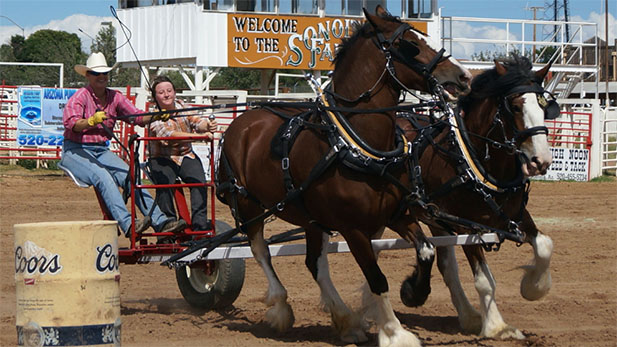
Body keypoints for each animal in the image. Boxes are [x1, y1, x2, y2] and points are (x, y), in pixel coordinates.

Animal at [217, 5, 472, 347]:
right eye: (410, 44)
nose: (464, 76)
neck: (356, 145)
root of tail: (242, 121)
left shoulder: (396, 215)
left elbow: (427, 250)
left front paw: (413, 292)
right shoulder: (354, 230)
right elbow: (377, 279)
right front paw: (395, 332)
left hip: (310, 218)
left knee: (315, 263)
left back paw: (345, 319)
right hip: (248, 207)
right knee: (260, 251)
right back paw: (282, 308)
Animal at [398, 55, 556, 342]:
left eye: (544, 105)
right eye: (515, 106)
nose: (541, 161)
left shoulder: (514, 217)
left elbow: (544, 245)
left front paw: (533, 287)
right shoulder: (468, 226)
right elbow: (484, 280)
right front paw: (497, 326)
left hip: (436, 219)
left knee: (447, 267)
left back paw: (468, 316)